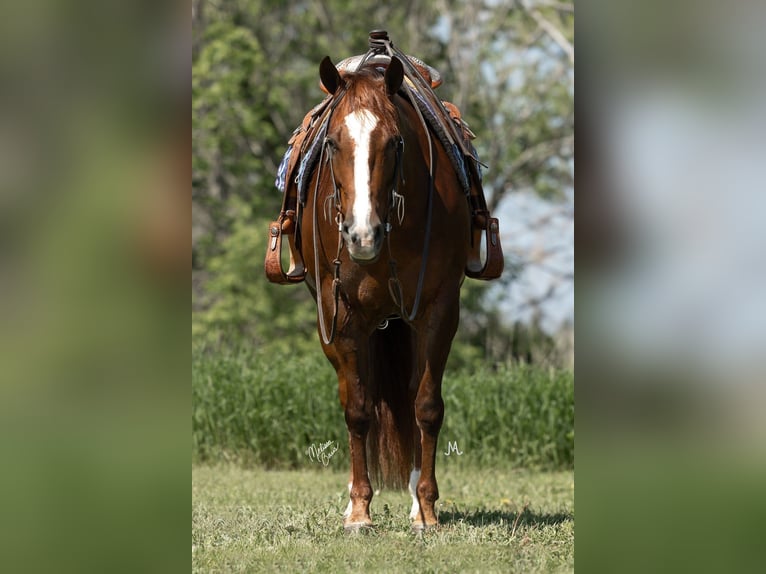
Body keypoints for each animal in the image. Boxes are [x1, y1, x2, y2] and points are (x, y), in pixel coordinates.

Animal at [304, 56, 474, 532]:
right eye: (332, 143)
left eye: (395, 142)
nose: (362, 235)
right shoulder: (341, 314)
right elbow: (358, 410)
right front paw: (360, 511)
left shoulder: (438, 310)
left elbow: (427, 406)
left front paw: (427, 508)